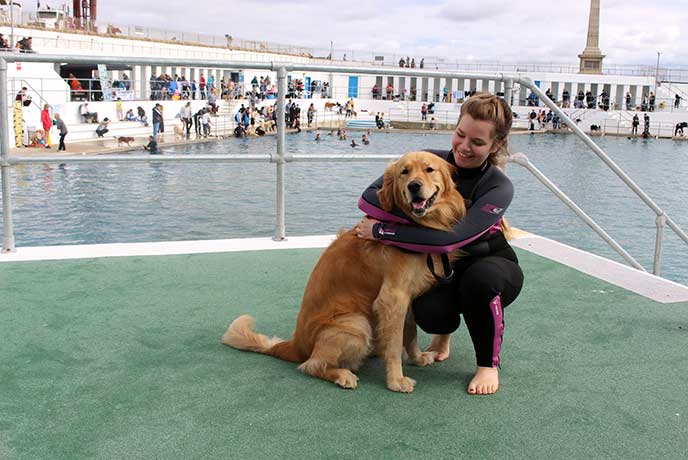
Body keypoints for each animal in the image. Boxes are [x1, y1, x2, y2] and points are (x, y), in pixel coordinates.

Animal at [220, 150, 468, 392]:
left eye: (429, 169)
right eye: (404, 172)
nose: (414, 186)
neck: (411, 225)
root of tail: (294, 345)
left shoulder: (407, 298)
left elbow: (410, 333)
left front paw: (417, 358)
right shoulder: (392, 297)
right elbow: (395, 345)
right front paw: (396, 380)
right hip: (356, 323)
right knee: (311, 364)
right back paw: (342, 374)